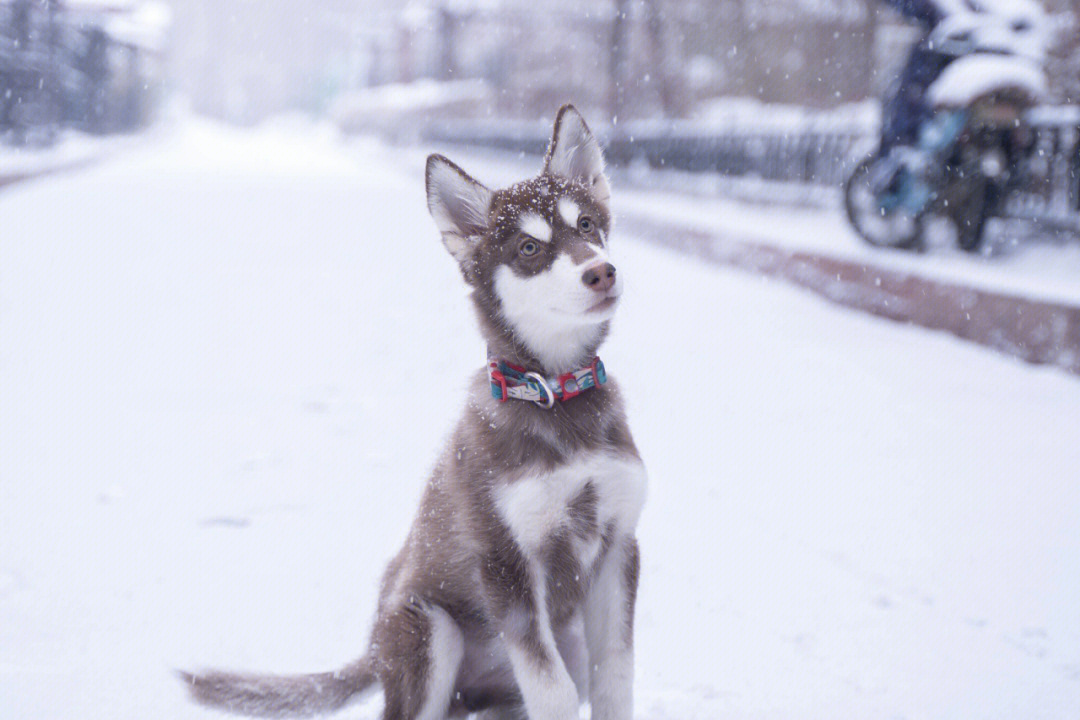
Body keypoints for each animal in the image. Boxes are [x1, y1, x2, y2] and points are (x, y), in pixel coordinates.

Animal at [181, 105, 643, 720]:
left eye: (587, 224)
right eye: (528, 249)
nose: (602, 272)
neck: (557, 394)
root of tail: (371, 650)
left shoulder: (618, 548)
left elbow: (613, 677)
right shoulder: (505, 562)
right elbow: (553, 689)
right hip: (429, 630)